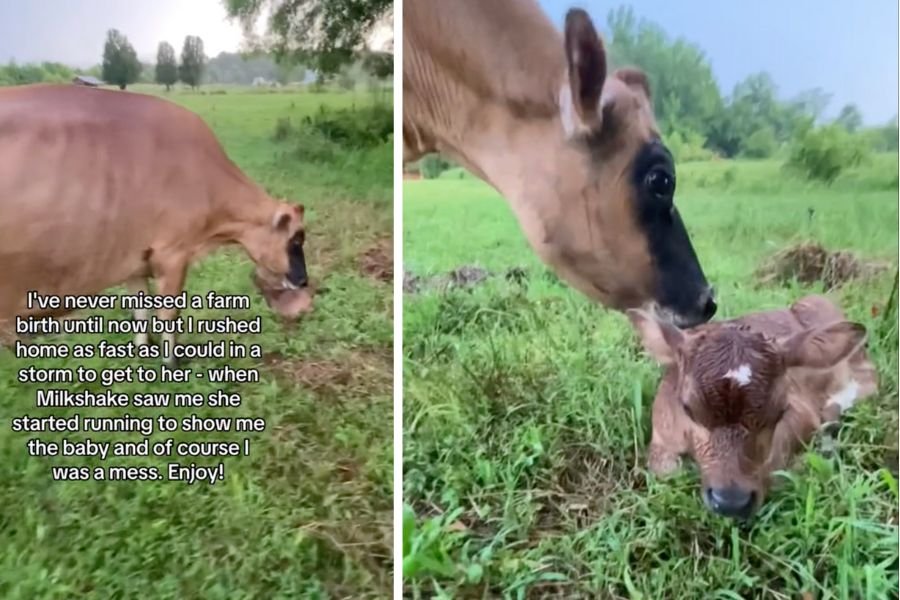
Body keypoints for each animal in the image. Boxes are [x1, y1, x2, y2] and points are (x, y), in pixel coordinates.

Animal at [0, 84, 313, 362]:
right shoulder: (172, 253)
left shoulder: (134, 256)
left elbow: (140, 309)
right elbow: (168, 314)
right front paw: (171, 362)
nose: (303, 281)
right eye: (296, 238)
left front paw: (142, 352)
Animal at [628, 295, 878, 520]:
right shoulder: (662, 433)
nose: (731, 502)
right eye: (687, 408)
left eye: (780, 411)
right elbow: (666, 471)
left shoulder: (802, 414)